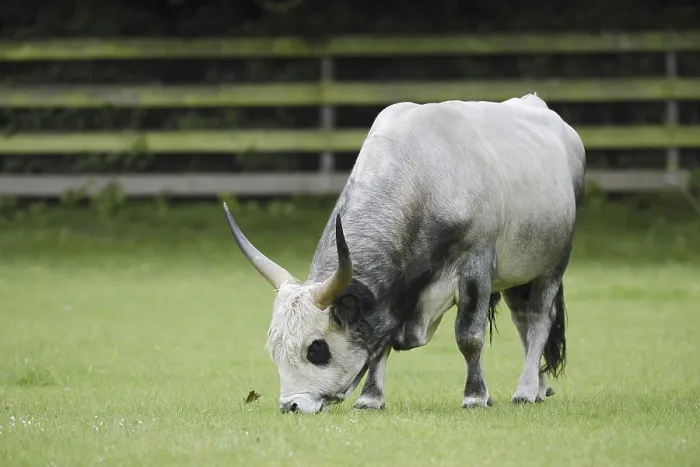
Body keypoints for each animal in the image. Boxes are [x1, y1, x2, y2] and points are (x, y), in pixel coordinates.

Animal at [223, 93, 586, 413]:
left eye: (317, 349)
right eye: (274, 348)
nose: (292, 406)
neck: (423, 181)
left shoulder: (476, 269)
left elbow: (469, 336)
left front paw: (475, 396)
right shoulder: (391, 299)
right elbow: (379, 345)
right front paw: (370, 399)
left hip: (555, 262)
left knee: (539, 318)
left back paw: (525, 390)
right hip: (518, 273)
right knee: (522, 320)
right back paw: (538, 387)